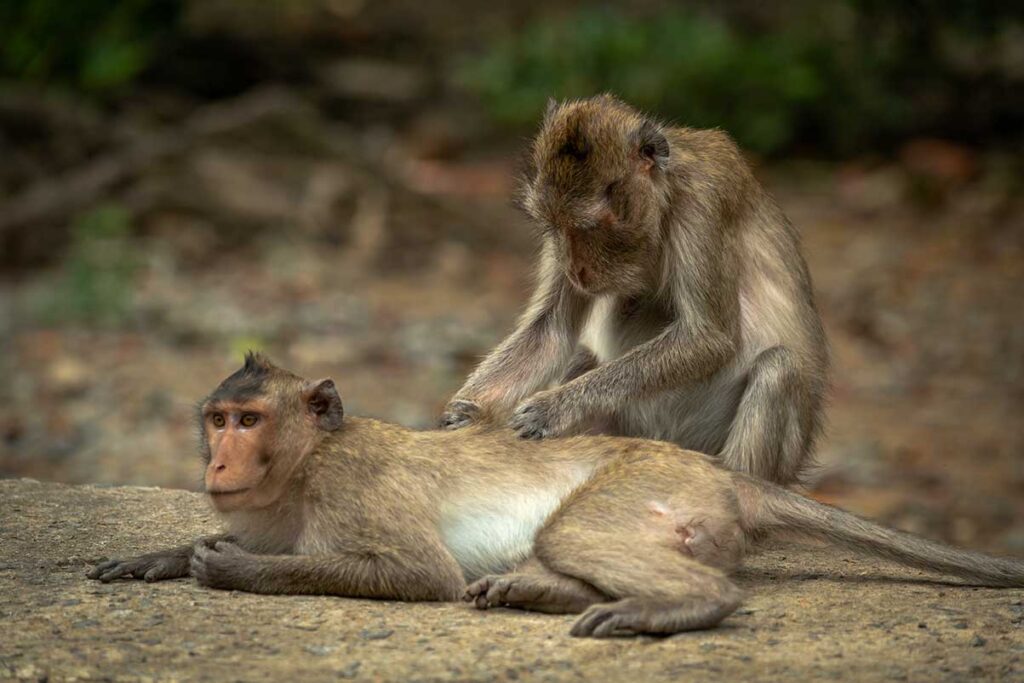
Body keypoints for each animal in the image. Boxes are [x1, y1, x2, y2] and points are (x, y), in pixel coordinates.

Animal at [89, 354, 1024, 638]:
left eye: (248, 419)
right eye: (217, 418)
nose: (218, 460)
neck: (307, 461)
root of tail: (728, 473)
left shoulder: (353, 485)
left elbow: (420, 572)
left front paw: (228, 567)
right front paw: (158, 554)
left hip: (644, 485)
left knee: (583, 536)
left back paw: (672, 606)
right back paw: (535, 588)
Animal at [440, 95, 828, 485]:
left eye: (589, 228)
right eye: (556, 227)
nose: (574, 270)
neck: (665, 198)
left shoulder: (704, 204)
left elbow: (709, 337)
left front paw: (553, 408)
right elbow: (550, 331)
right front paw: (466, 411)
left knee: (779, 366)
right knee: (584, 355)